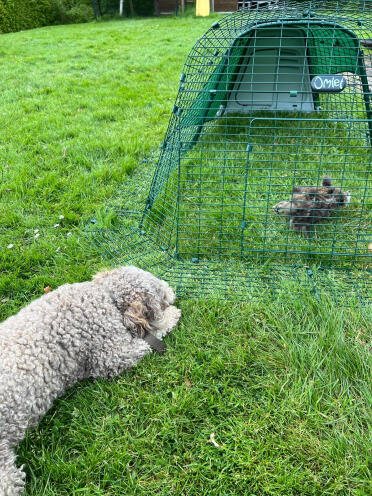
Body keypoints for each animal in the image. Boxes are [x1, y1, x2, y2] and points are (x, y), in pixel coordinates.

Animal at [0, 268, 180, 496]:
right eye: (160, 293)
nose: (172, 289)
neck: (106, 296)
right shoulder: (114, 354)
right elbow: (151, 336)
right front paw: (170, 317)